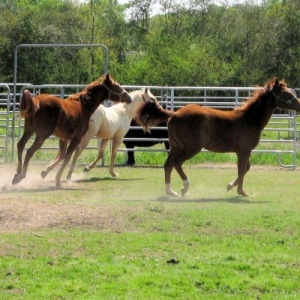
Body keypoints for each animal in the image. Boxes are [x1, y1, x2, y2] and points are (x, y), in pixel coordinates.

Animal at [135, 78, 300, 198]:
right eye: (286, 94)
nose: (299, 105)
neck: (249, 119)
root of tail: (175, 114)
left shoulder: (243, 151)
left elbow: (246, 168)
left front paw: (230, 186)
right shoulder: (244, 151)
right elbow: (242, 169)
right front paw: (241, 192)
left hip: (175, 146)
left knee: (168, 165)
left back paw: (171, 192)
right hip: (191, 148)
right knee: (176, 163)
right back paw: (184, 187)